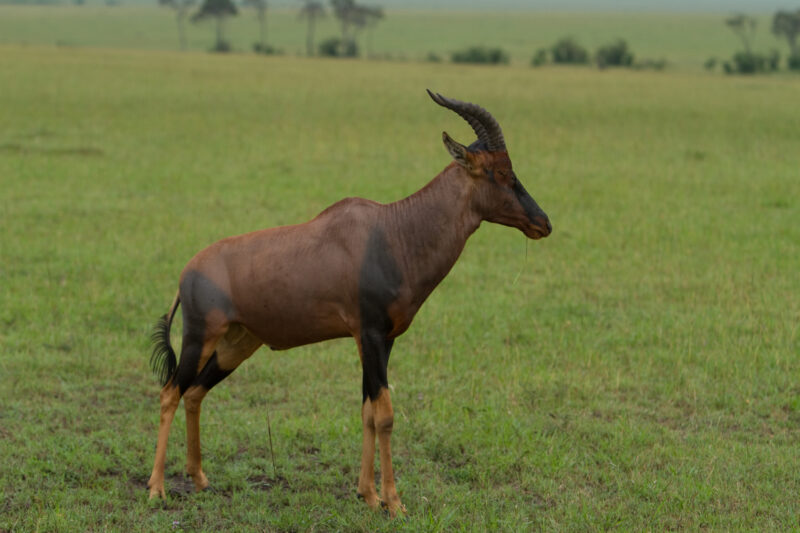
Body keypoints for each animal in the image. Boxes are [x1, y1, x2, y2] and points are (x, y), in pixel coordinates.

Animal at [147, 90, 552, 516]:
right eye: (502, 173)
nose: (544, 223)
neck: (393, 232)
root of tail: (188, 272)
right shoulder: (370, 334)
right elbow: (386, 414)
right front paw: (394, 502)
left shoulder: (382, 340)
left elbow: (367, 412)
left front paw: (368, 495)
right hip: (199, 338)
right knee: (170, 392)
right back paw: (157, 489)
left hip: (236, 345)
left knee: (194, 392)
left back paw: (200, 479)